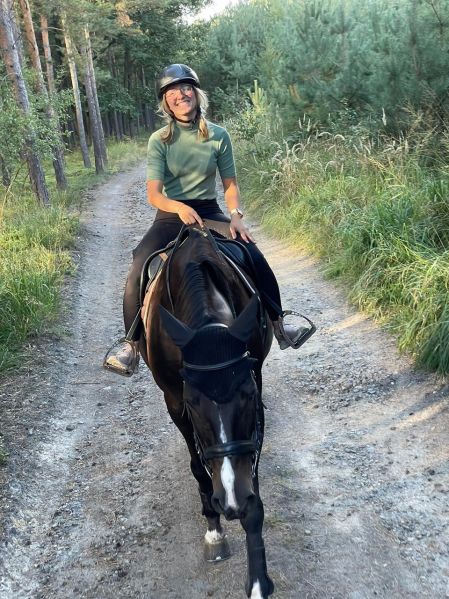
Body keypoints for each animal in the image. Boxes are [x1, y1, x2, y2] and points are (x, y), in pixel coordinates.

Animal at [139, 224, 274, 598]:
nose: (230, 501)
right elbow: (198, 465)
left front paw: (257, 579)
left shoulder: (256, 382)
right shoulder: (173, 400)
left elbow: (253, 480)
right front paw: (214, 530)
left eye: (248, 395)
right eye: (192, 403)